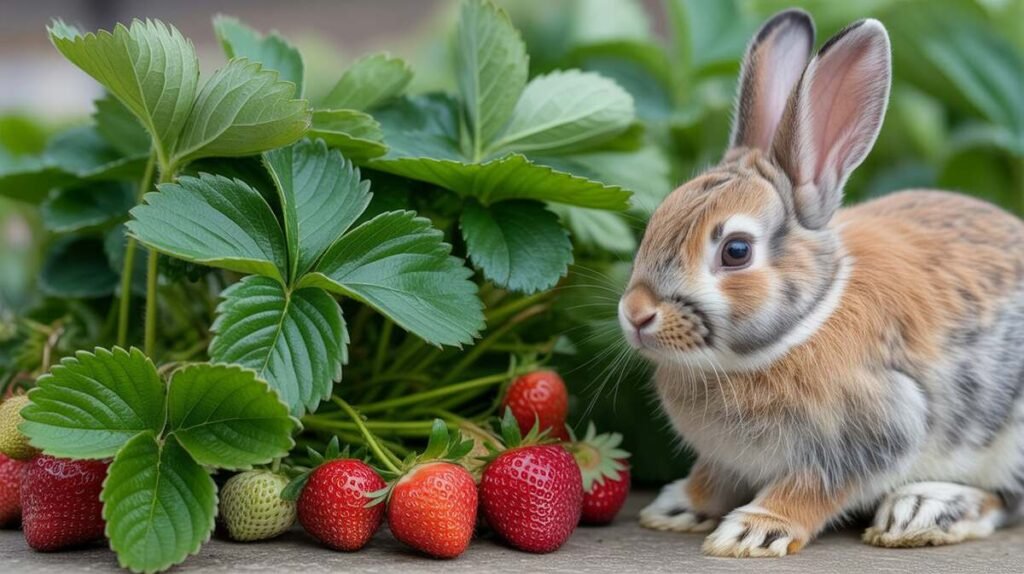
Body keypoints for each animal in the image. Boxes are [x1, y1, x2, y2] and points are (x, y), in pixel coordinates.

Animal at [618, 8, 1024, 558]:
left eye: (736, 251)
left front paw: (752, 532)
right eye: (659, 217)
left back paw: (922, 509)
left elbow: (810, 489)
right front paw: (678, 507)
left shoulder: (872, 432)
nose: (636, 314)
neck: (802, 326)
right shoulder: (725, 458)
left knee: (1006, 499)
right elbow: (714, 478)